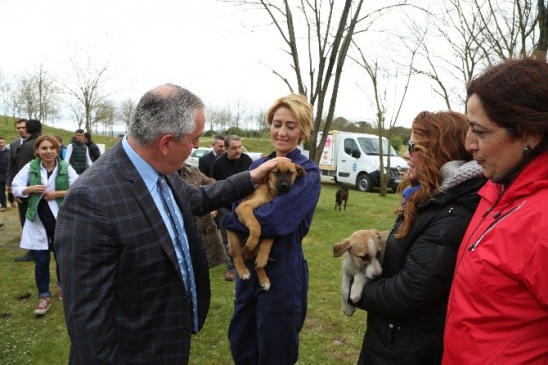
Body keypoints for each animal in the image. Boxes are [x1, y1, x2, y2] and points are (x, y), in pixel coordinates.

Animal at [225, 159, 306, 290]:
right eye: (276, 173)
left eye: (290, 173)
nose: (284, 186)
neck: (271, 192)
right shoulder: (244, 207)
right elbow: (256, 225)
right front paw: (252, 241)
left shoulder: (273, 219)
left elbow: (269, 239)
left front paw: (263, 255)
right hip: (233, 239)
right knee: (237, 257)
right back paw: (243, 271)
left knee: (257, 265)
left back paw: (264, 278)